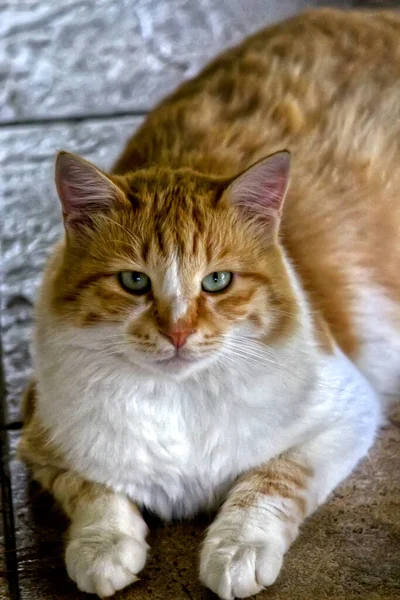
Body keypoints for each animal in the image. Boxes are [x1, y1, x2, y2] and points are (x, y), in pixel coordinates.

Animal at [19, 8, 400, 600]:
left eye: (217, 281)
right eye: (134, 281)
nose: (177, 332)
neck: (179, 399)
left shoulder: (347, 412)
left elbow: (269, 481)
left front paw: (237, 548)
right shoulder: (40, 433)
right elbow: (95, 492)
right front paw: (104, 548)